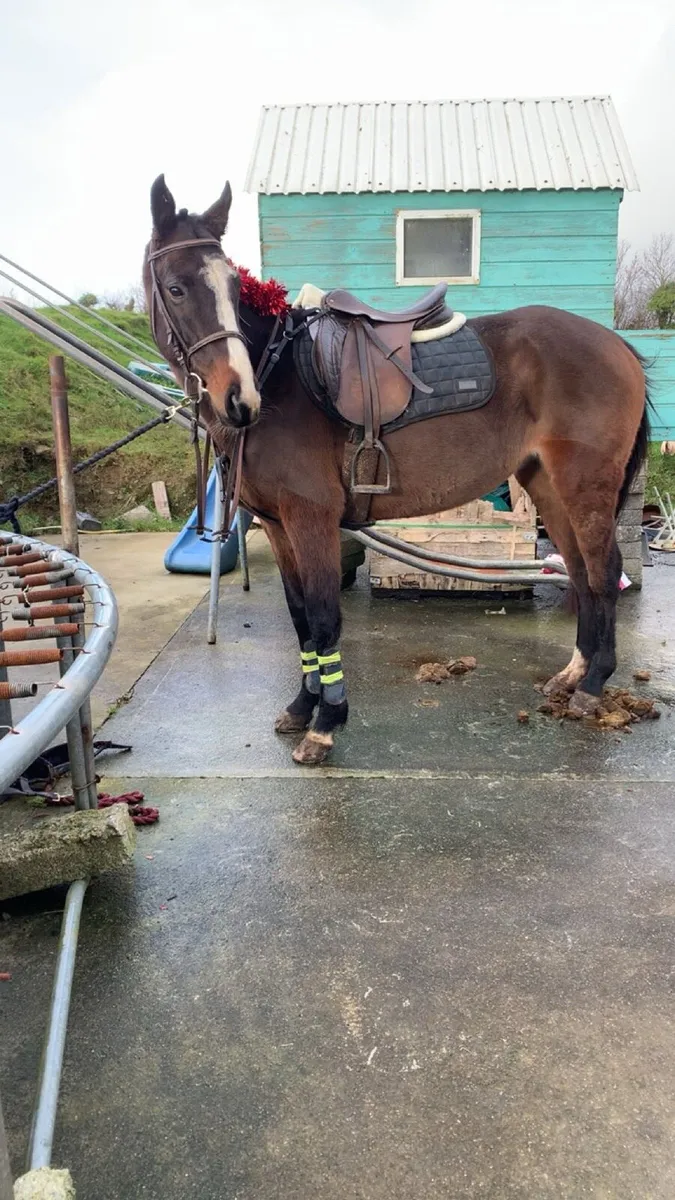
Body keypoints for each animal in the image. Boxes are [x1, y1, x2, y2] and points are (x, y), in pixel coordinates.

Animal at [143, 177, 650, 766]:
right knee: (580, 571)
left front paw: (327, 722)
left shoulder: (311, 520)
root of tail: (616, 344)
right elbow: (300, 617)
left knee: (603, 571)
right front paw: (302, 706)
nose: (238, 399)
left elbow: (323, 616)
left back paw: (593, 686)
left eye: (230, 285)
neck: (280, 377)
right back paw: (572, 675)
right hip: (549, 486)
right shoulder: (278, 525)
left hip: (584, 486)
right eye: (176, 288)